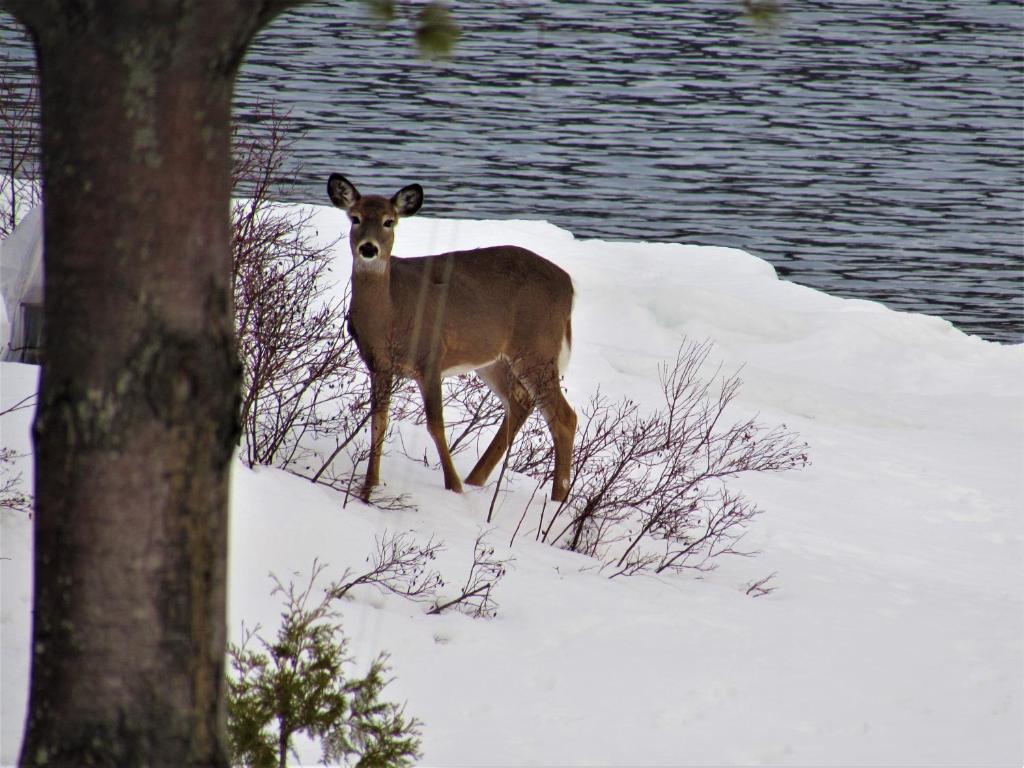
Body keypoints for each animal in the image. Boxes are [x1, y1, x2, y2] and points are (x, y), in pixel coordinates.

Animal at [331, 174, 581, 505]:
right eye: (355, 218)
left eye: (389, 221)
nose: (369, 249)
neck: (391, 314)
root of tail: (569, 285)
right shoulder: (378, 365)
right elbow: (378, 423)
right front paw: (368, 487)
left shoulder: (431, 356)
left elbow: (435, 424)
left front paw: (453, 486)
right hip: (492, 359)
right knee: (520, 403)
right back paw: (477, 480)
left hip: (536, 347)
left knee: (564, 417)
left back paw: (556, 500)